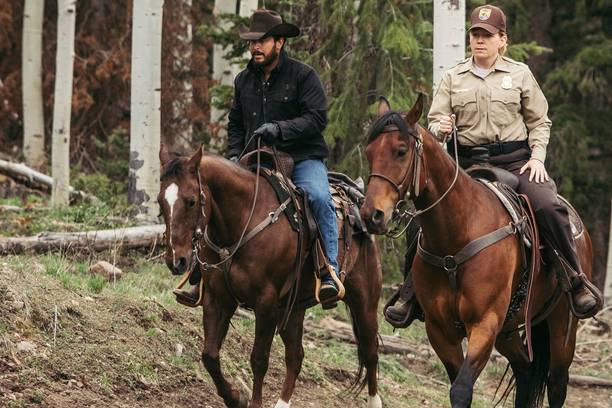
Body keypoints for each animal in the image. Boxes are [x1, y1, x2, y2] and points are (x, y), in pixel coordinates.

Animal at [157, 145, 382, 406]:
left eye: (191, 201)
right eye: (160, 201)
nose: (176, 260)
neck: (243, 219)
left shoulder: (266, 304)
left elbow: (259, 359)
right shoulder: (217, 298)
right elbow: (210, 355)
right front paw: (235, 398)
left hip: (364, 303)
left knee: (371, 352)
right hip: (293, 309)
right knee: (295, 356)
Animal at [358, 96, 592, 408]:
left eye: (401, 151)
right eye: (370, 152)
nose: (372, 215)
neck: (458, 235)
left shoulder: (485, 323)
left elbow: (461, 389)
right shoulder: (440, 330)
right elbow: (458, 383)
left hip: (562, 325)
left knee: (556, 383)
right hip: (509, 331)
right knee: (525, 371)